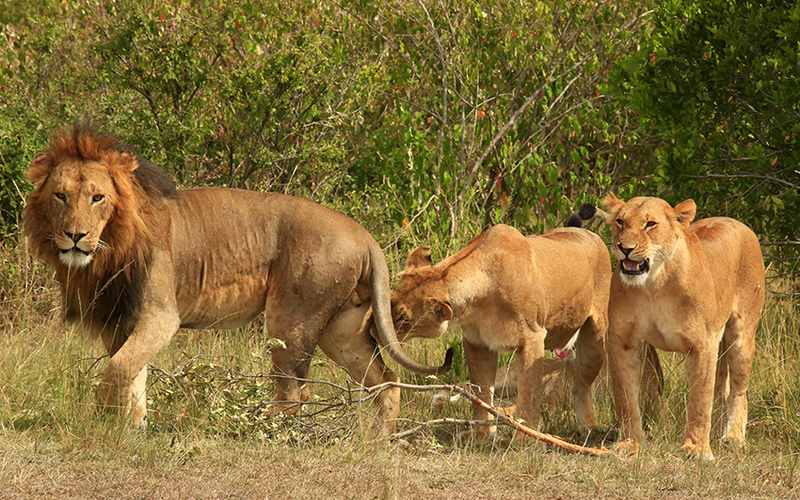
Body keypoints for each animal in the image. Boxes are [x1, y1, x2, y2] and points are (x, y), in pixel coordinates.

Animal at [23, 123, 450, 432]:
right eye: (61, 196)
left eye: (98, 198)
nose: (74, 235)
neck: (108, 248)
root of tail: (365, 235)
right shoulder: (120, 321)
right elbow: (133, 374)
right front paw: (134, 427)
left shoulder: (160, 315)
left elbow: (118, 371)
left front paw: (104, 427)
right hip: (341, 330)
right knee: (387, 380)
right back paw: (378, 439)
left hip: (291, 320)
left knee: (294, 392)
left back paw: (259, 431)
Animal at [390, 225, 608, 440]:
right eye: (390, 300)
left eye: (403, 318)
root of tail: (593, 234)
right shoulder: (476, 342)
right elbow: (481, 390)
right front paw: (482, 435)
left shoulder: (533, 338)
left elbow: (528, 394)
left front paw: (525, 440)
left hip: (595, 339)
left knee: (581, 385)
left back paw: (588, 427)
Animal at [588, 193, 768, 458]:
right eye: (620, 221)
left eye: (650, 224)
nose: (624, 248)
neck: (654, 285)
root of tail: (738, 223)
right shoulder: (622, 340)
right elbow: (626, 397)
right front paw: (630, 443)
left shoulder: (702, 344)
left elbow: (700, 399)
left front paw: (697, 449)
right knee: (721, 387)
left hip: (742, 334)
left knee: (738, 388)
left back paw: (733, 437)